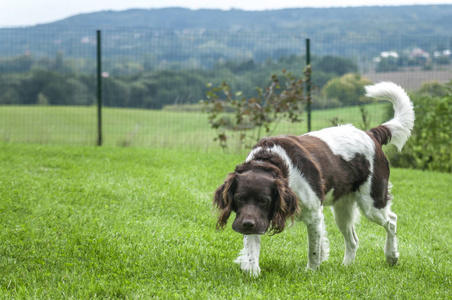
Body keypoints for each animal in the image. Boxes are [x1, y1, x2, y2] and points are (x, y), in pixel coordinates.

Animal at [214, 81, 414, 276]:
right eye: (239, 199)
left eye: (264, 201)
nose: (247, 224)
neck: (271, 161)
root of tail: (371, 134)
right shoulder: (253, 218)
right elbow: (251, 251)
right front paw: (252, 272)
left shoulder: (313, 215)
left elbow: (314, 250)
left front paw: (311, 271)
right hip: (342, 209)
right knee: (353, 240)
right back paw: (347, 266)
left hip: (371, 203)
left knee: (391, 220)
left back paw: (391, 256)